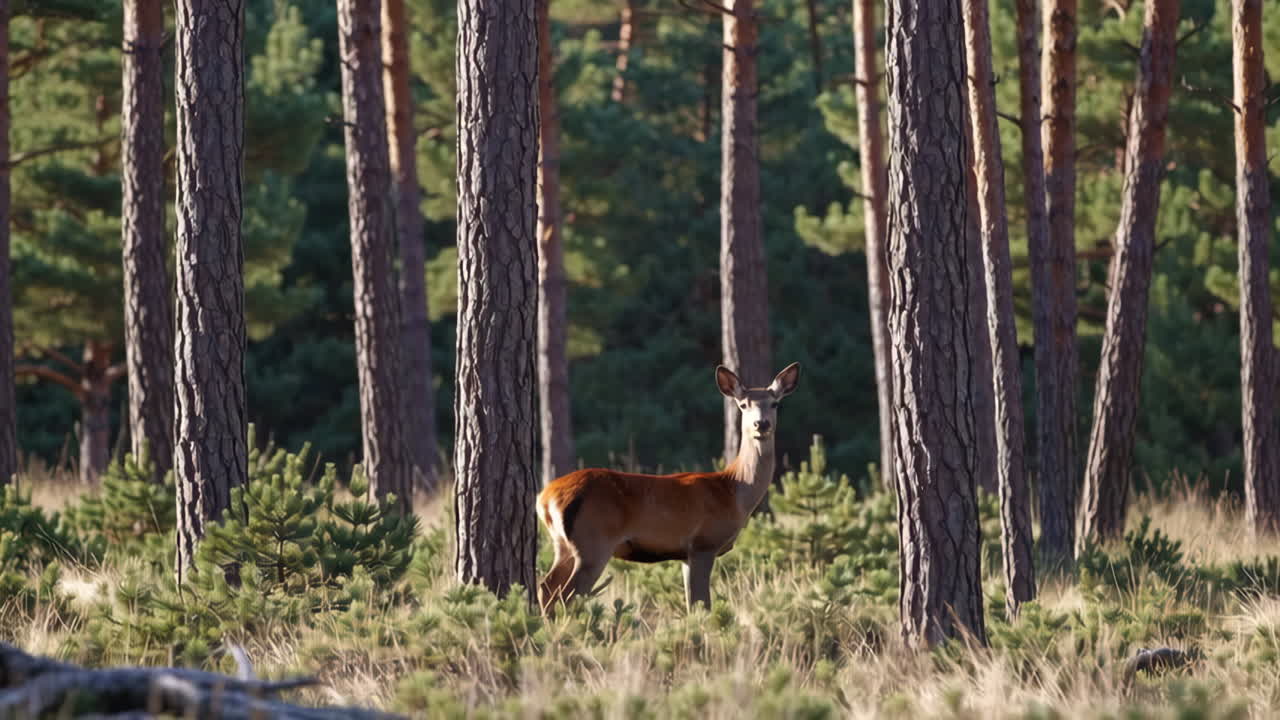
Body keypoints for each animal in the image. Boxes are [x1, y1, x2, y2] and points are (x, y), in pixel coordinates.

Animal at [536, 362, 800, 613]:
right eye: (743, 404)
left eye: (775, 403)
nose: (761, 424)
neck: (733, 489)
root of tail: (545, 498)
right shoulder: (703, 544)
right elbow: (702, 604)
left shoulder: (685, 555)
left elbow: (692, 604)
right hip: (593, 541)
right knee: (566, 596)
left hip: (563, 544)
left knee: (546, 587)